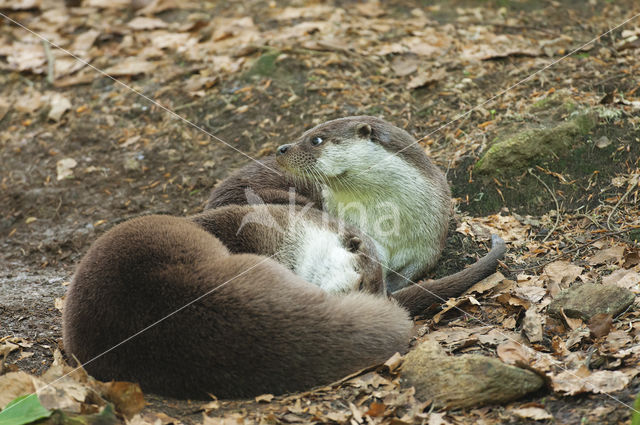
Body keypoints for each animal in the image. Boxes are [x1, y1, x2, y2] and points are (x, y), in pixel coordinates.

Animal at [205, 117, 450, 294]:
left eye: (316, 140)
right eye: (303, 134)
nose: (282, 148)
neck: (391, 222)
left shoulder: (430, 239)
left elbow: (413, 269)